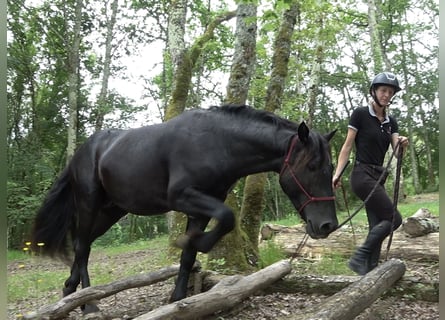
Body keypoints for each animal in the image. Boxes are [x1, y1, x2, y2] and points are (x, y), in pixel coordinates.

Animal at [31, 104, 336, 312]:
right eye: (312, 166)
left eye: (331, 167)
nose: (327, 225)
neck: (217, 143)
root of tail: (81, 152)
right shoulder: (183, 196)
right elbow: (226, 217)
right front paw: (195, 242)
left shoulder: (201, 209)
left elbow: (189, 256)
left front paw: (178, 298)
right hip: (89, 204)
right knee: (82, 247)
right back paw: (89, 303)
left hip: (111, 211)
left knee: (84, 244)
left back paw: (71, 292)